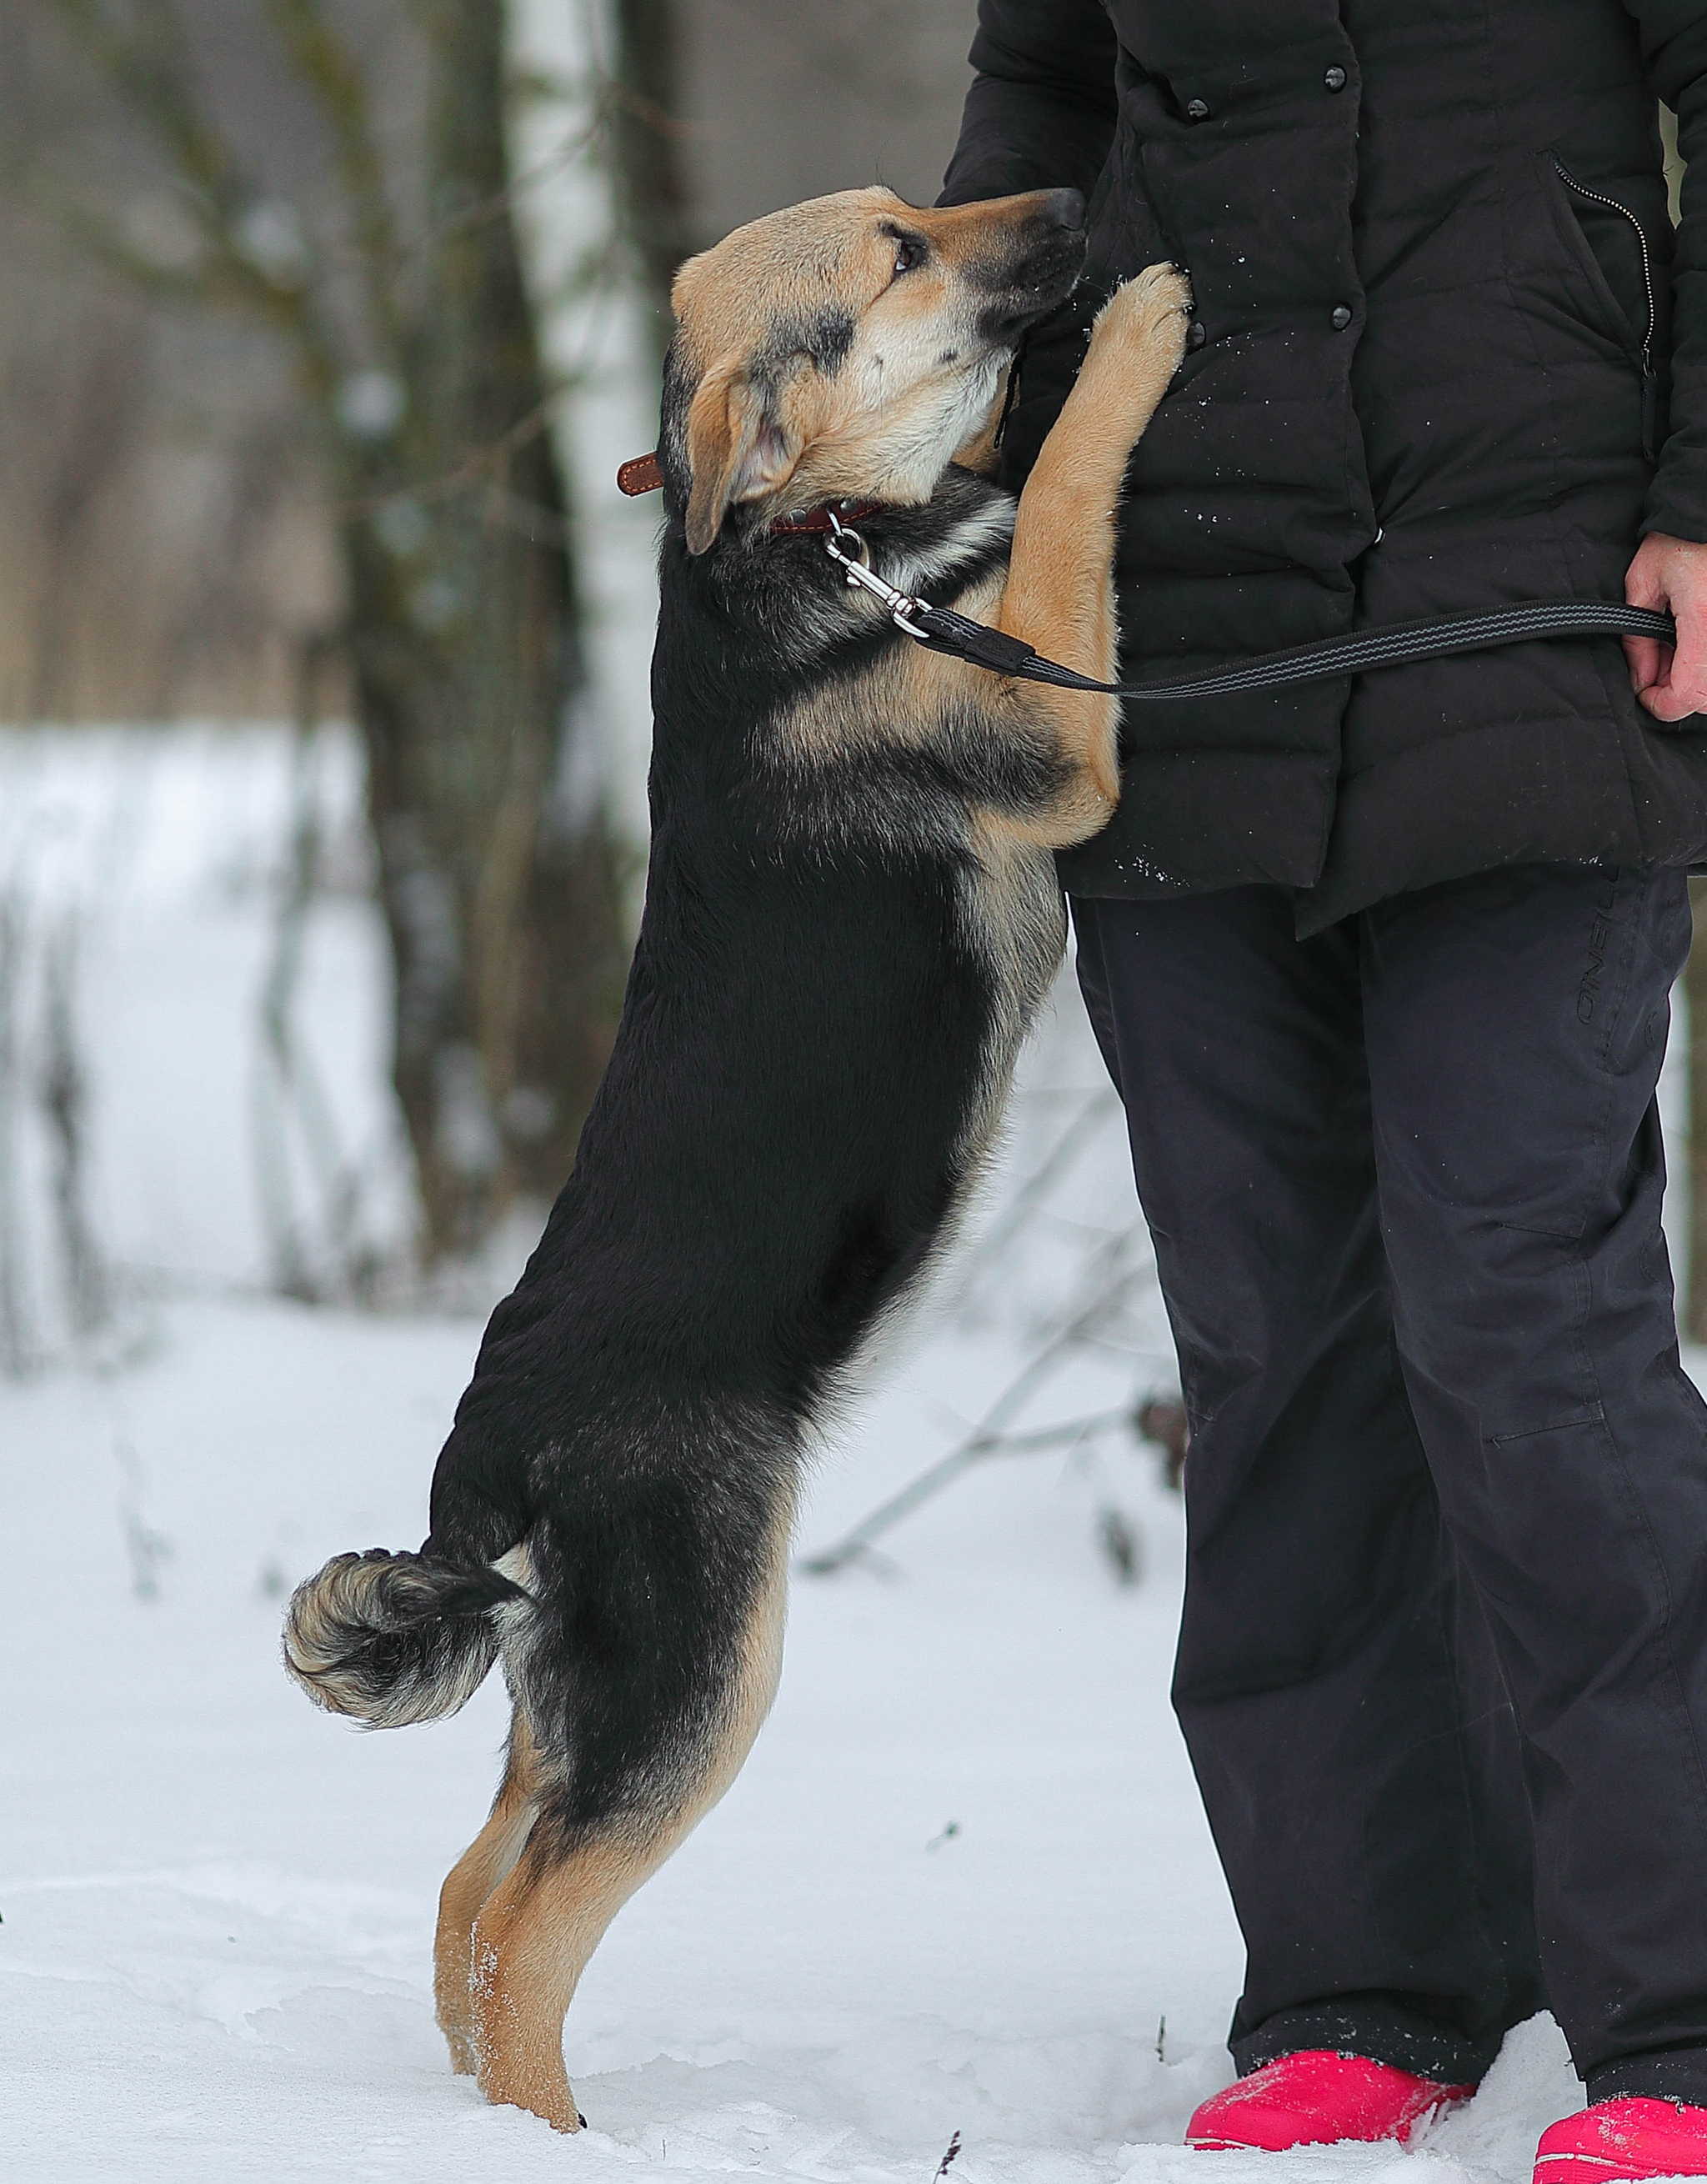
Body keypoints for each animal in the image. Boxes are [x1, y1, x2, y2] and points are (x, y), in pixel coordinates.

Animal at [283, 183, 1187, 2131]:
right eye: (899, 252)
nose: (1074, 205)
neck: (802, 544)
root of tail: (488, 1461)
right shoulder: (1058, 725)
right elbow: (1066, 493)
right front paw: (1129, 345)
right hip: (705, 1652)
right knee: (525, 1922)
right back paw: (562, 2139)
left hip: (587, 1685)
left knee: (470, 1889)